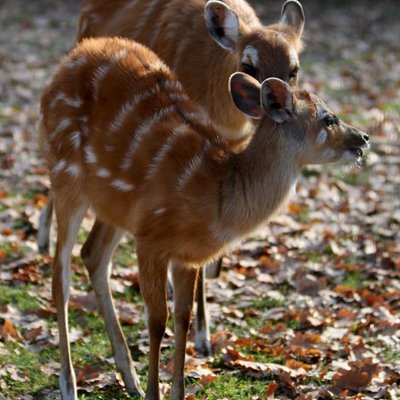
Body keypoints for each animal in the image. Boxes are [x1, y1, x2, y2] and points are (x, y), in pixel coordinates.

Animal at [39, 36, 368, 398]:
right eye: (328, 118)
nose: (363, 138)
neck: (216, 197)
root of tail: (72, 57)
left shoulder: (189, 256)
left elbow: (182, 318)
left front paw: (174, 391)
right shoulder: (151, 238)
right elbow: (157, 319)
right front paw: (155, 392)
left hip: (115, 205)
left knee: (93, 254)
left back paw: (129, 377)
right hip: (65, 173)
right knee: (60, 277)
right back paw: (69, 383)